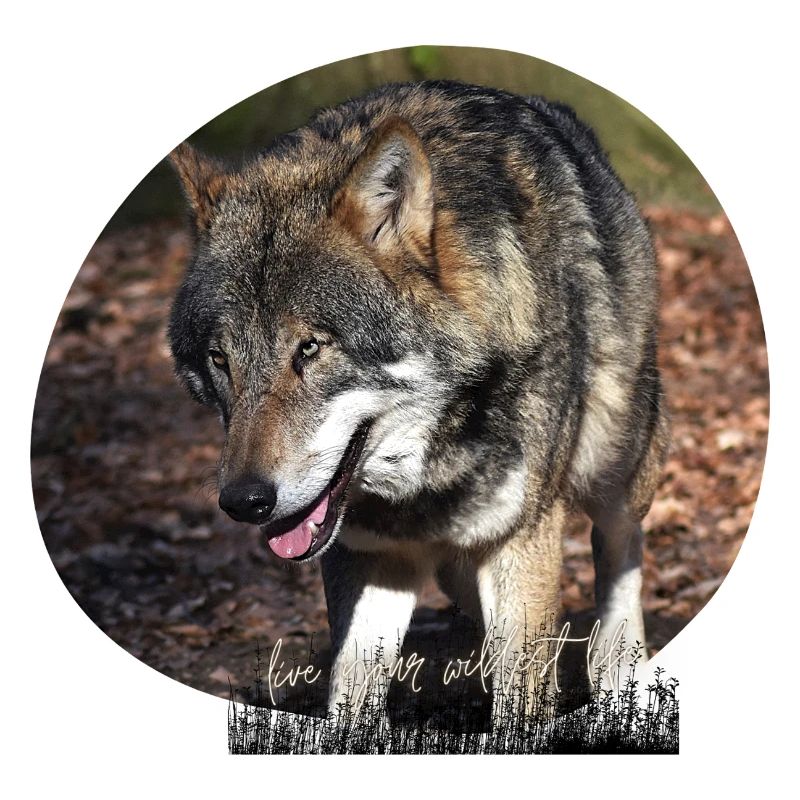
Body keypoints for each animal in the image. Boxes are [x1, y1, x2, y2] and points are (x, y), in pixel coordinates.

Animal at [168, 80, 669, 713]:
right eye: (220, 359)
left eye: (310, 348)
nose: (244, 502)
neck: (424, 484)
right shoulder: (371, 558)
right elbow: (350, 697)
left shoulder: (522, 538)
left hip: (612, 457)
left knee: (619, 548)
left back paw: (619, 676)